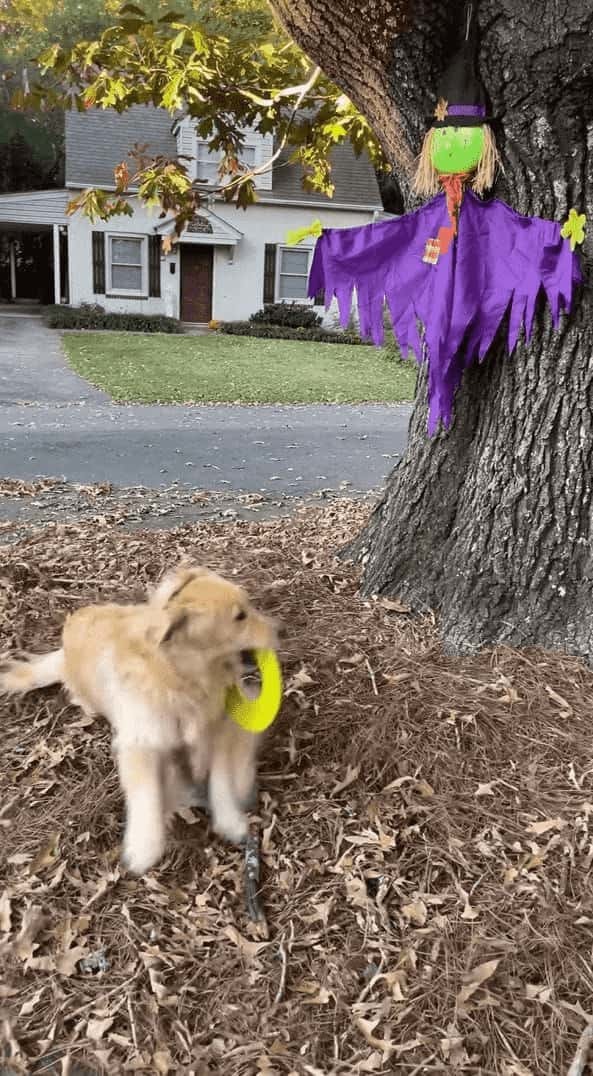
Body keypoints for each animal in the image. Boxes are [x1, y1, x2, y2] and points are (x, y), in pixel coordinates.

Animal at [0, 563, 275, 873]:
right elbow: (147, 795)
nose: (281, 629)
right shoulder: (141, 743)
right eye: (240, 616)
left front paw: (231, 820)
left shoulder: (217, 729)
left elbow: (222, 780)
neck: (181, 676)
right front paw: (144, 847)